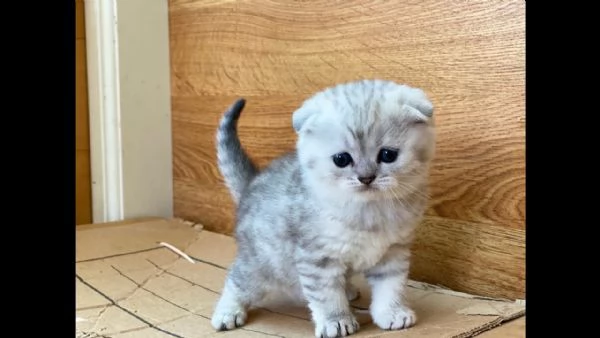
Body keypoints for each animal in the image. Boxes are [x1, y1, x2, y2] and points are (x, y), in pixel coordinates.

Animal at [209, 80, 434, 338]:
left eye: (388, 155)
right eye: (341, 159)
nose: (366, 178)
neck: (369, 211)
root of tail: (251, 183)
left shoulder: (393, 253)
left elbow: (391, 287)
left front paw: (392, 313)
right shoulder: (317, 258)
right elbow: (327, 296)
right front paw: (336, 321)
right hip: (263, 264)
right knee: (236, 280)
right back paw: (227, 312)